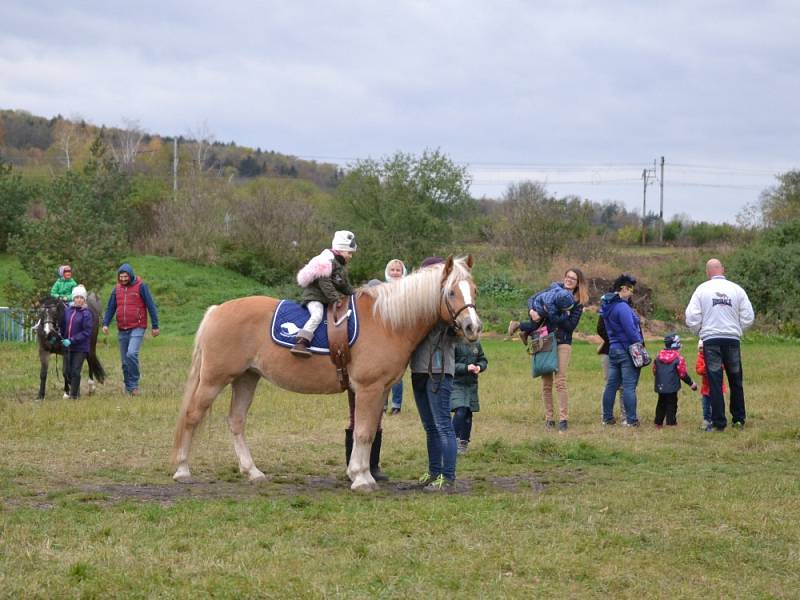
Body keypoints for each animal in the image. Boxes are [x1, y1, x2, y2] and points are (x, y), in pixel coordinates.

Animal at [170, 255, 482, 490]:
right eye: (451, 292)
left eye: (475, 290)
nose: (473, 327)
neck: (386, 322)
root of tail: (216, 310)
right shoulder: (369, 388)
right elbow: (364, 433)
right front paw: (362, 479)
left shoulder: (378, 391)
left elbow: (366, 431)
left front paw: (359, 472)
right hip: (214, 379)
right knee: (192, 416)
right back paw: (183, 469)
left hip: (247, 378)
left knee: (236, 422)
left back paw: (252, 472)